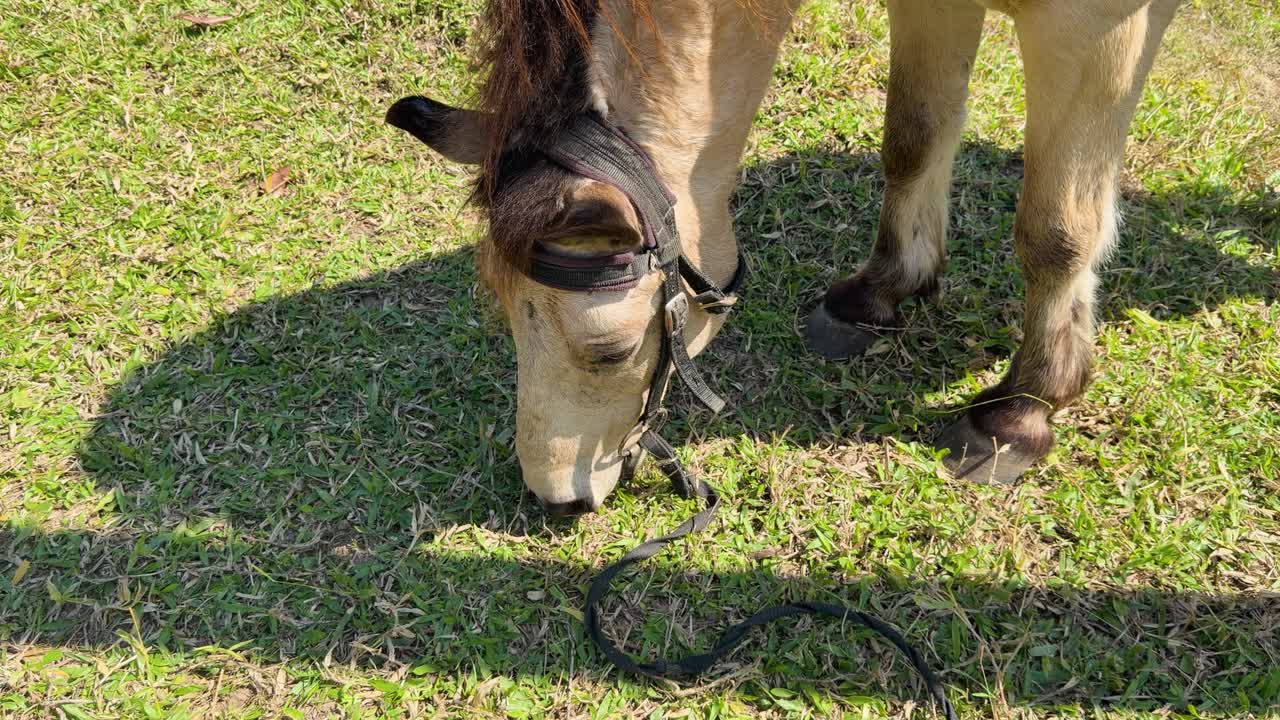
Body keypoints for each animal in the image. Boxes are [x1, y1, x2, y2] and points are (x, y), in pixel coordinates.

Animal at [386, 0, 1183, 514]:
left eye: (608, 352)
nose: (553, 498)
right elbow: (913, 134)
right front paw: (878, 295)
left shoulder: (1092, 28)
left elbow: (1056, 231)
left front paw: (1020, 412)